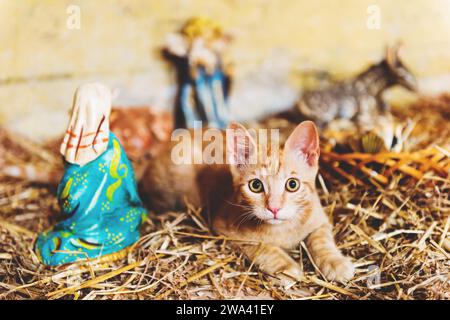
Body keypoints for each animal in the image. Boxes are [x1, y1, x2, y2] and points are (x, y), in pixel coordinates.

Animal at [142, 121, 354, 284]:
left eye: (292, 184)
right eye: (256, 186)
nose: (274, 208)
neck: (282, 229)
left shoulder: (320, 219)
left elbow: (321, 240)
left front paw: (335, 262)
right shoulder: (225, 228)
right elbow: (261, 247)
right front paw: (285, 266)